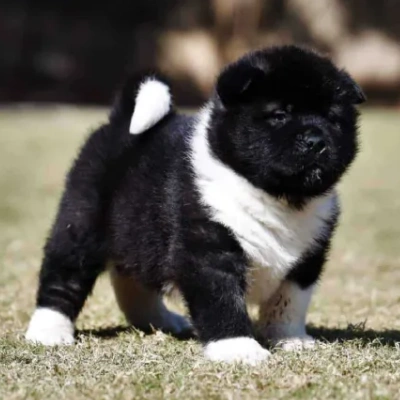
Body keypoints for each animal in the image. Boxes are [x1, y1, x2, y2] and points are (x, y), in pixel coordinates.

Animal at [25, 45, 364, 364]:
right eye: (280, 115)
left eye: (333, 119)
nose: (316, 141)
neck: (274, 195)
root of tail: (120, 120)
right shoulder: (210, 250)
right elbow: (223, 301)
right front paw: (238, 349)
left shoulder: (308, 258)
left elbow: (290, 302)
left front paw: (290, 339)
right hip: (81, 222)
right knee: (64, 276)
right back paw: (48, 330)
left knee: (133, 282)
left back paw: (160, 321)